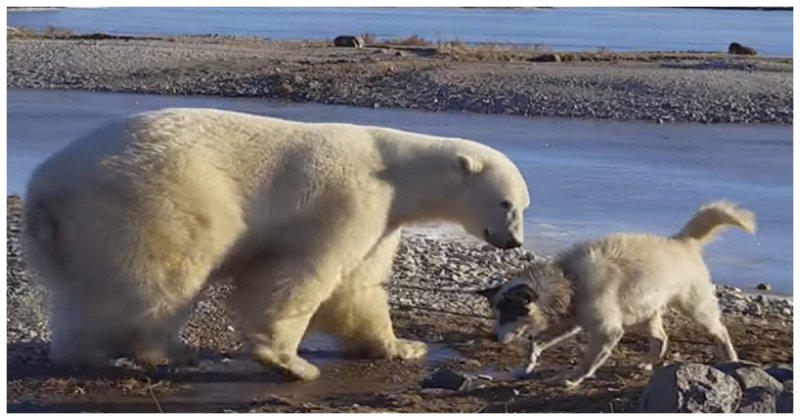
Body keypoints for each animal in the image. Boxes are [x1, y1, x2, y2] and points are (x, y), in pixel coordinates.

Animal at [23, 107, 532, 380]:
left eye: (524, 205)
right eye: (506, 202)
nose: (513, 242)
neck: (395, 168)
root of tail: (46, 188)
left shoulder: (383, 219)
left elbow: (359, 287)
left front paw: (403, 346)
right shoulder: (352, 198)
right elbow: (307, 272)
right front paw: (289, 362)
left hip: (74, 233)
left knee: (80, 293)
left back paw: (80, 352)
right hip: (158, 199)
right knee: (165, 277)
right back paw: (167, 350)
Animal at [482, 200, 756, 388]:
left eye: (509, 314)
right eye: (496, 314)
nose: (492, 337)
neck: (570, 280)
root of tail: (681, 242)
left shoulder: (607, 332)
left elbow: (588, 360)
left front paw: (574, 378)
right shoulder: (569, 323)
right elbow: (535, 344)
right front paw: (527, 366)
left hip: (696, 309)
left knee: (720, 332)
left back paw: (730, 358)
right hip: (646, 310)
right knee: (661, 338)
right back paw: (649, 362)